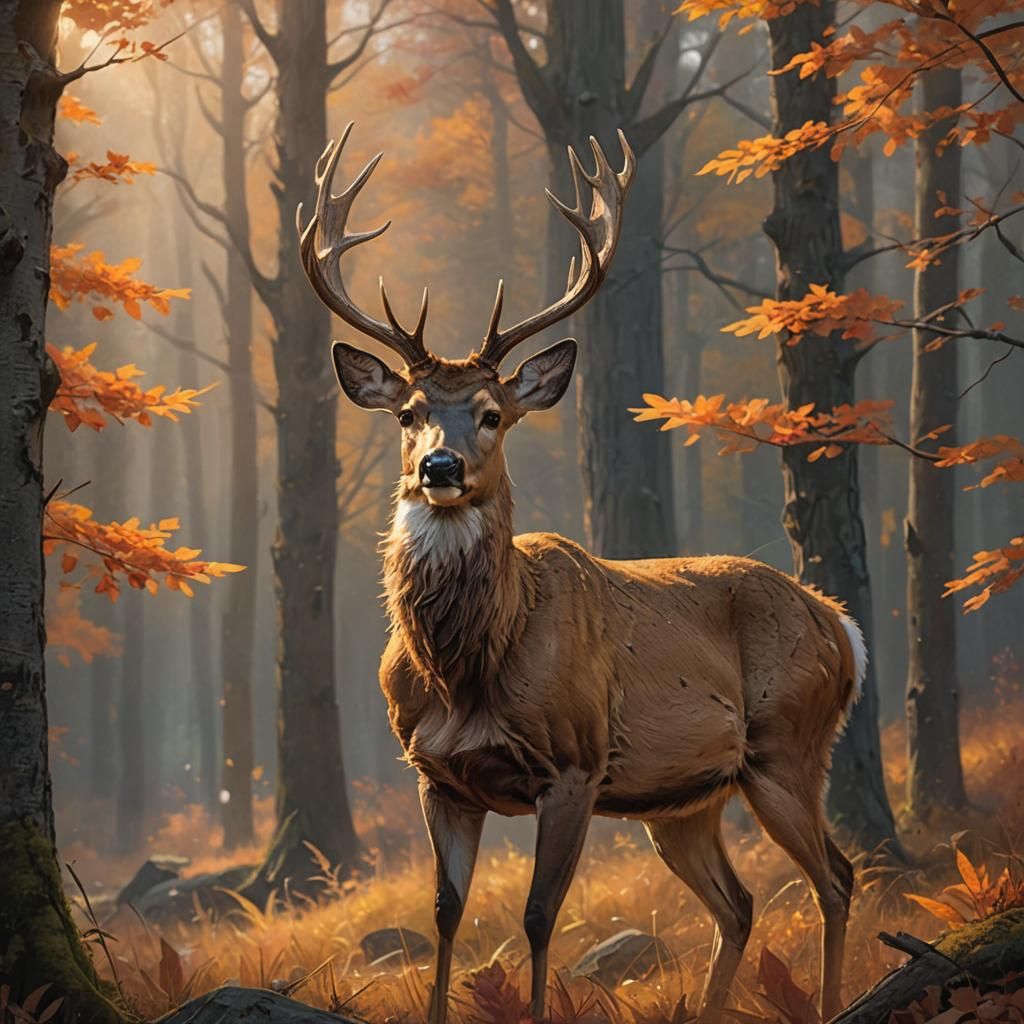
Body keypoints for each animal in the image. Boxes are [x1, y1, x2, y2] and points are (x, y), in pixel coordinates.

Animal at [297, 123, 862, 1024]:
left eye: (493, 413)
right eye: (410, 411)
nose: (440, 468)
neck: (468, 669)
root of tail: (839, 622)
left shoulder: (573, 763)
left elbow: (537, 917)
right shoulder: (435, 775)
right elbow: (446, 914)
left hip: (787, 742)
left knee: (836, 878)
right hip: (684, 799)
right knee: (739, 905)